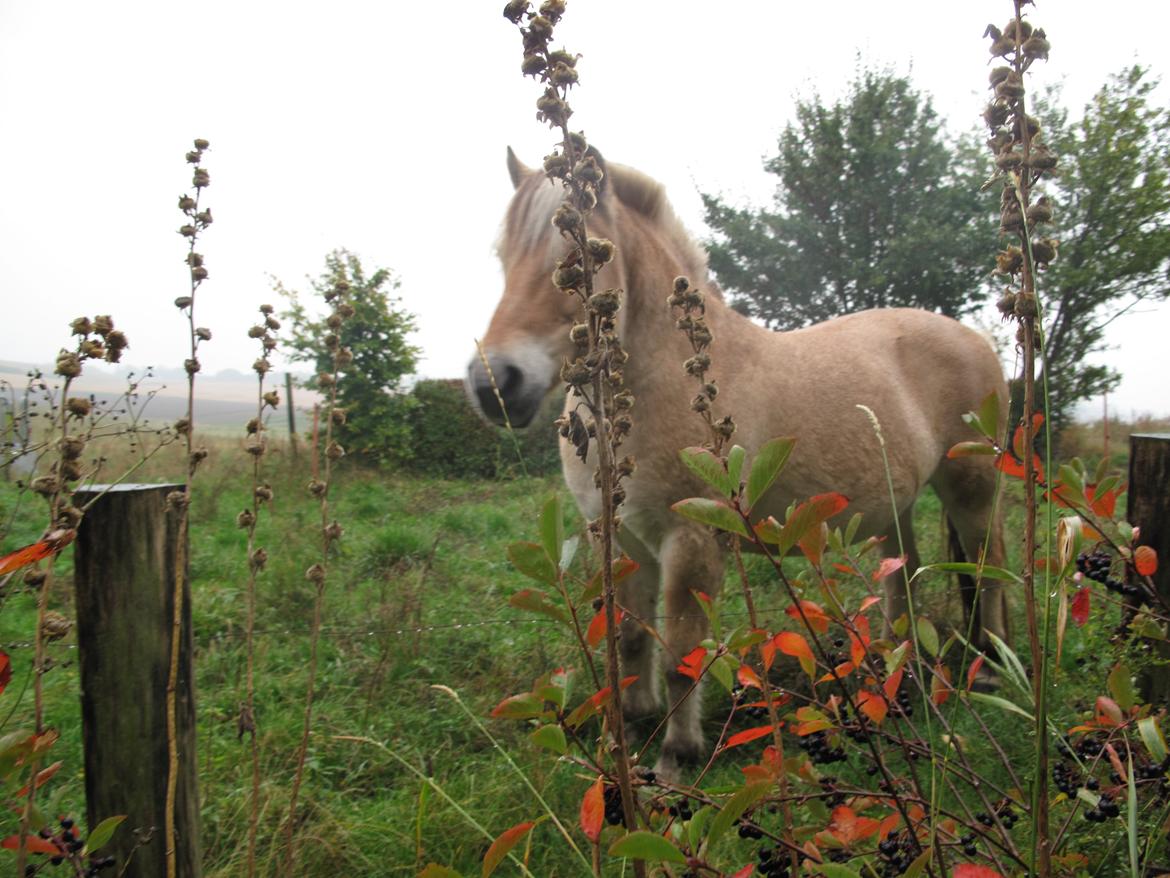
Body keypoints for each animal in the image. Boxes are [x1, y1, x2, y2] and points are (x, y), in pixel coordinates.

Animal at [470, 148, 1010, 782]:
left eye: (573, 258)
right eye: (504, 257)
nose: (495, 384)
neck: (665, 378)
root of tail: (975, 338)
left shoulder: (691, 539)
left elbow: (681, 651)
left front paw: (675, 760)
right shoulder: (625, 539)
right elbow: (631, 640)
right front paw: (634, 726)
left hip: (972, 488)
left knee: (988, 568)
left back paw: (992, 670)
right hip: (893, 509)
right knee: (902, 579)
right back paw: (892, 680)